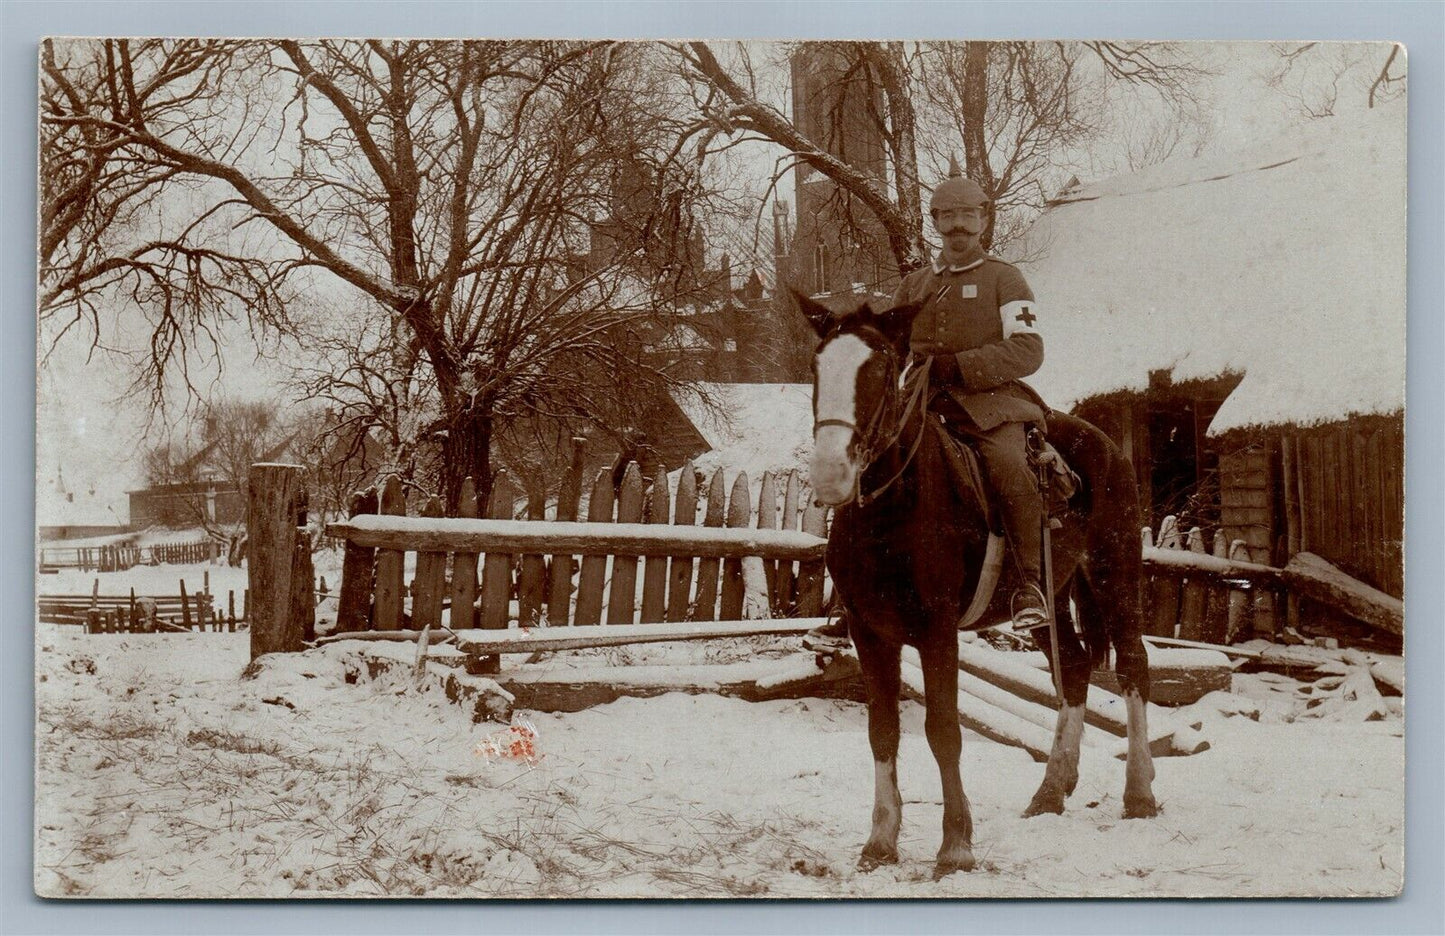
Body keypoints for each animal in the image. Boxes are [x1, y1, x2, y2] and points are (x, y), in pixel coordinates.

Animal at [803, 290, 1161, 878]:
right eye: (816, 366)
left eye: (881, 368)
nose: (831, 472)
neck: (892, 510)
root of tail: (1106, 443)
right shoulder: (868, 632)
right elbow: (883, 732)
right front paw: (880, 840)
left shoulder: (937, 631)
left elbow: (944, 732)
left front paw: (955, 844)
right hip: (1050, 597)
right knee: (1075, 665)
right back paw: (1050, 790)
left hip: (1116, 574)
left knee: (1132, 664)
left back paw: (1139, 793)